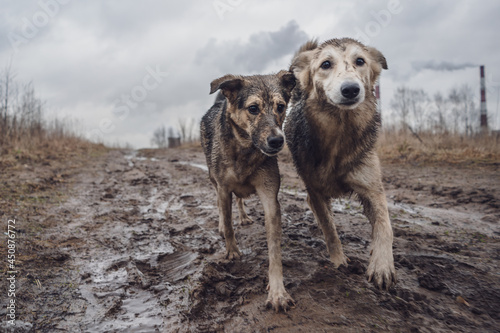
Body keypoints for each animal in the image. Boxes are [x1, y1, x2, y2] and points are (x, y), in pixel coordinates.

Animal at [201, 71, 296, 310]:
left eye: (281, 107)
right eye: (253, 108)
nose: (277, 140)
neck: (245, 149)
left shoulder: (270, 197)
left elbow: (274, 249)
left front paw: (277, 291)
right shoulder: (223, 188)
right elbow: (227, 221)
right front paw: (232, 251)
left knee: (240, 200)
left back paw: (243, 217)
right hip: (213, 178)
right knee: (221, 206)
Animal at [286, 37, 394, 288]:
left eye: (360, 61)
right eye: (326, 64)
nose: (351, 89)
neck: (340, 130)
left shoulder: (372, 188)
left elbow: (385, 225)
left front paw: (382, 265)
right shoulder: (315, 191)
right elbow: (329, 229)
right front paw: (339, 261)